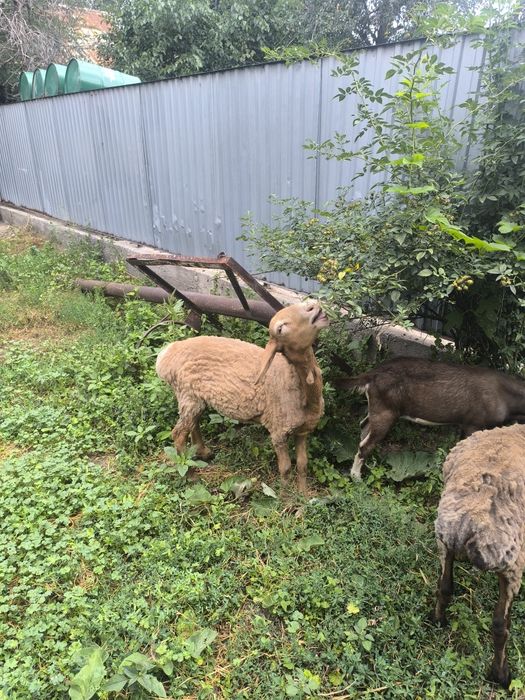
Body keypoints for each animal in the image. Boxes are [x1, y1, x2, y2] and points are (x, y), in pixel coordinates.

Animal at [156, 302, 329, 494]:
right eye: (280, 328)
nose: (313, 306)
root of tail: (166, 354)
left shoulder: (303, 431)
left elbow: (302, 464)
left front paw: (304, 495)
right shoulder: (278, 431)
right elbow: (285, 468)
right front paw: (285, 496)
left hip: (195, 398)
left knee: (193, 424)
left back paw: (203, 452)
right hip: (187, 394)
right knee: (178, 434)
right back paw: (191, 475)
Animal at [338, 357, 525, 481]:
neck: (505, 396)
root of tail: (372, 374)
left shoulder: (464, 425)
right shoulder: (474, 424)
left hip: (377, 409)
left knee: (363, 426)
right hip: (386, 412)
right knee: (366, 445)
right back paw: (357, 477)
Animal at [434, 424, 525, 688]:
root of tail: (468, 521)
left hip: (444, 542)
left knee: (445, 586)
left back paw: (438, 620)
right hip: (511, 564)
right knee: (500, 625)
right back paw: (501, 675)